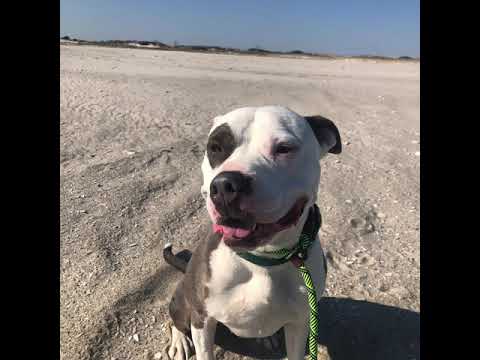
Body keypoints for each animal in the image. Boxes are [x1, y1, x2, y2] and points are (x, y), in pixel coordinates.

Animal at [163, 106, 340, 360]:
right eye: (215, 148)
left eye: (284, 148)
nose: (225, 185)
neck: (263, 260)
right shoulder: (202, 319)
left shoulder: (299, 324)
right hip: (183, 300)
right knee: (175, 319)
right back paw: (179, 340)